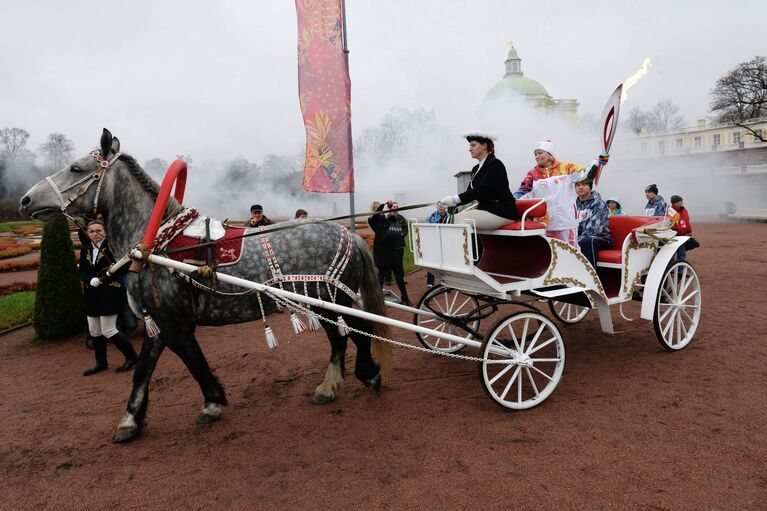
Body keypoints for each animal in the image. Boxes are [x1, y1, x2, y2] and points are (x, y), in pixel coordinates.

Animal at [19, 129, 390, 444]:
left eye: (75, 167)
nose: (25, 199)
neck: (160, 245)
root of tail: (351, 234)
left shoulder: (176, 322)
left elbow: (194, 362)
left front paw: (212, 402)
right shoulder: (158, 321)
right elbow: (142, 371)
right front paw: (130, 420)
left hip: (333, 298)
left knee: (357, 333)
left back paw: (369, 374)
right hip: (321, 303)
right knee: (339, 339)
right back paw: (329, 387)